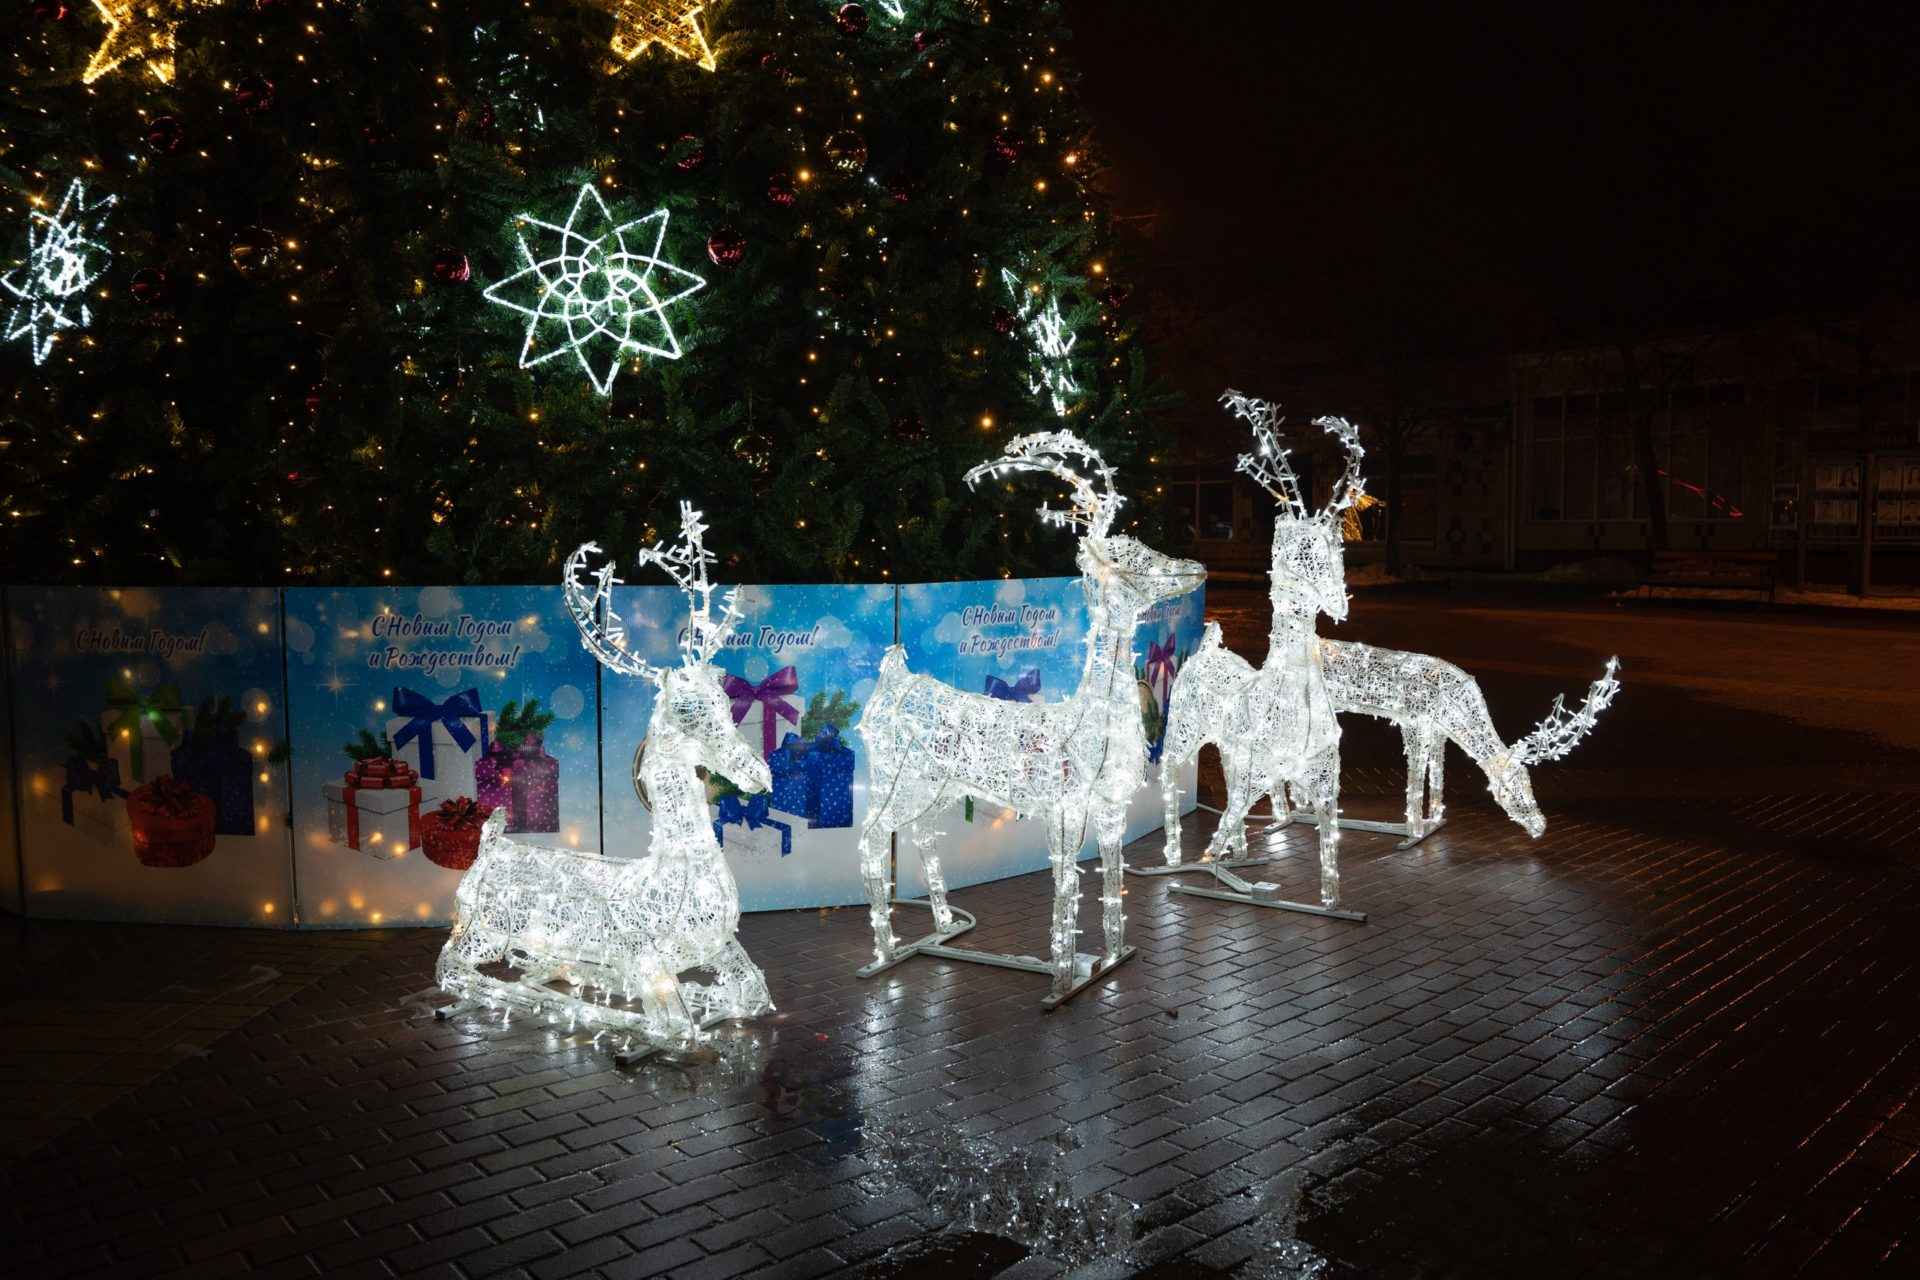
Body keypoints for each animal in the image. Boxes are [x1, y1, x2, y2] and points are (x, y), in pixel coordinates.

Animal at [435, 503, 775, 1064]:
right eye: (686, 711)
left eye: (725, 701)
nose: (758, 773)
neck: (669, 878)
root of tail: (490, 844)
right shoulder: (646, 960)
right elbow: (677, 1026)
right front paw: (633, 1027)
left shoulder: (723, 946)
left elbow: (751, 990)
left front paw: (712, 997)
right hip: (480, 931)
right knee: (450, 969)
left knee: (531, 963)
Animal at [854, 432, 1206, 1005]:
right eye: (1131, 553)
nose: (1195, 567)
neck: (1093, 724)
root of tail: (891, 681)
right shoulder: (1063, 813)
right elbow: (1066, 890)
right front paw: (1060, 982)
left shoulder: (1111, 808)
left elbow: (1111, 882)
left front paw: (1112, 957)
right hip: (894, 780)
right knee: (869, 838)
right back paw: (884, 953)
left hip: (935, 788)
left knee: (923, 836)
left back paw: (944, 927)